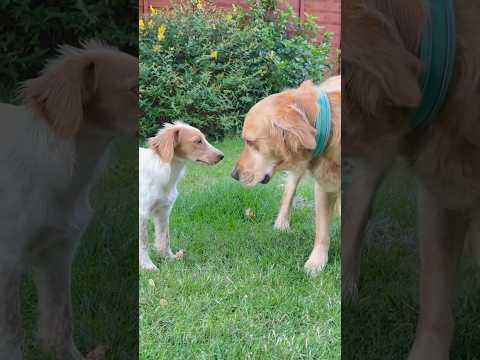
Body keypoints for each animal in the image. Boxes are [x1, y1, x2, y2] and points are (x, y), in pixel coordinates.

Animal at [137, 121, 223, 270]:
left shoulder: (164, 211)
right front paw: (147, 265)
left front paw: (169, 257)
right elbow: (144, 242)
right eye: (198, 141)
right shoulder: (142, 213)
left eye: (204, 139)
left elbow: (164, 237)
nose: (221, 156)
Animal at [232, 76, 342, 272]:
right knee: (288, 192)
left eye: (250, 142)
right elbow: (322, 231)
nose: (234, 174)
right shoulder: (323, 186)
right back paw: (281, 224)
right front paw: (316, 263)